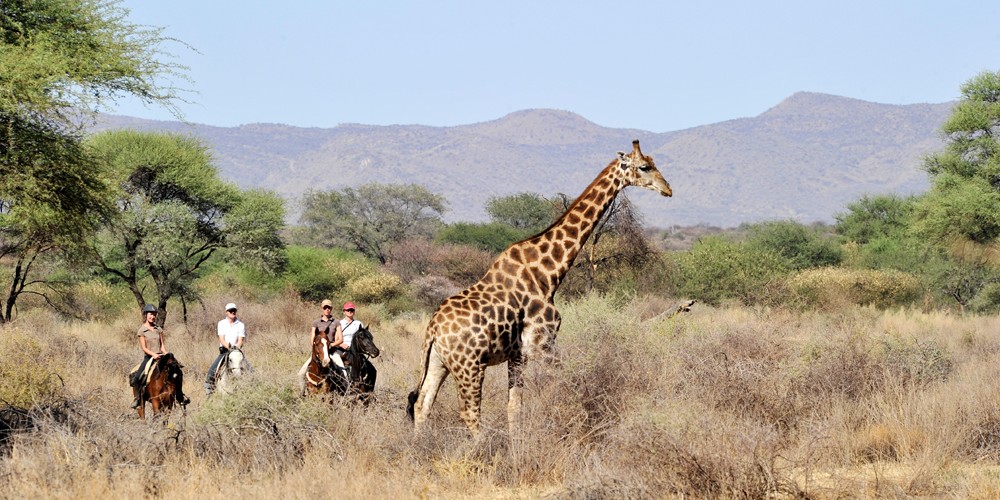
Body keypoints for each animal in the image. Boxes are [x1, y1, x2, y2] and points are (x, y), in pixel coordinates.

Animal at [406, 141, 672, 438]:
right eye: (644, 167)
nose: (668, 189)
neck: (548, 273)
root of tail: (432, 329)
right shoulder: (542, 344)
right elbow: (571, 384)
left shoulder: (518, 354)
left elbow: (514, 407)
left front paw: (517, 443)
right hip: (470, 365)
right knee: (469, 412)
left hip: (438, 363)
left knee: (423, 404)